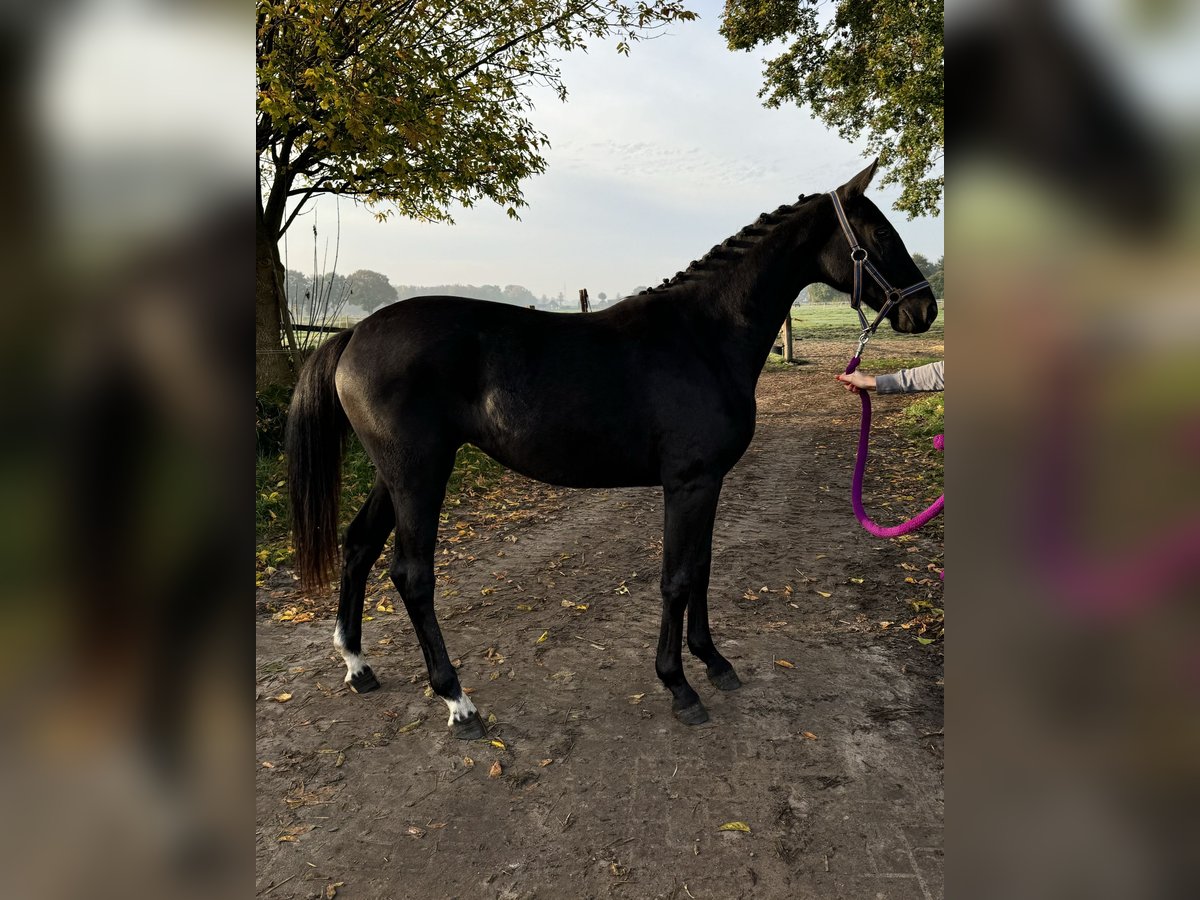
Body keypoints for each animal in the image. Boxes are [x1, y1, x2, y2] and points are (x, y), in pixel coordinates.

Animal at [283, 162, 936, 739]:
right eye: (880, 233)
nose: (924, 307)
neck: (703, 337)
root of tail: (354, 334)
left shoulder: (711, 483)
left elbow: (702, 568)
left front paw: (715, 663)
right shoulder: (688, 482)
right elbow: (677, 577)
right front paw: (679, 685)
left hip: (395, 476)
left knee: (358, 546)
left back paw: (358, 665)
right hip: (420, 474)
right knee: (412, 575)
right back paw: (457, 701)